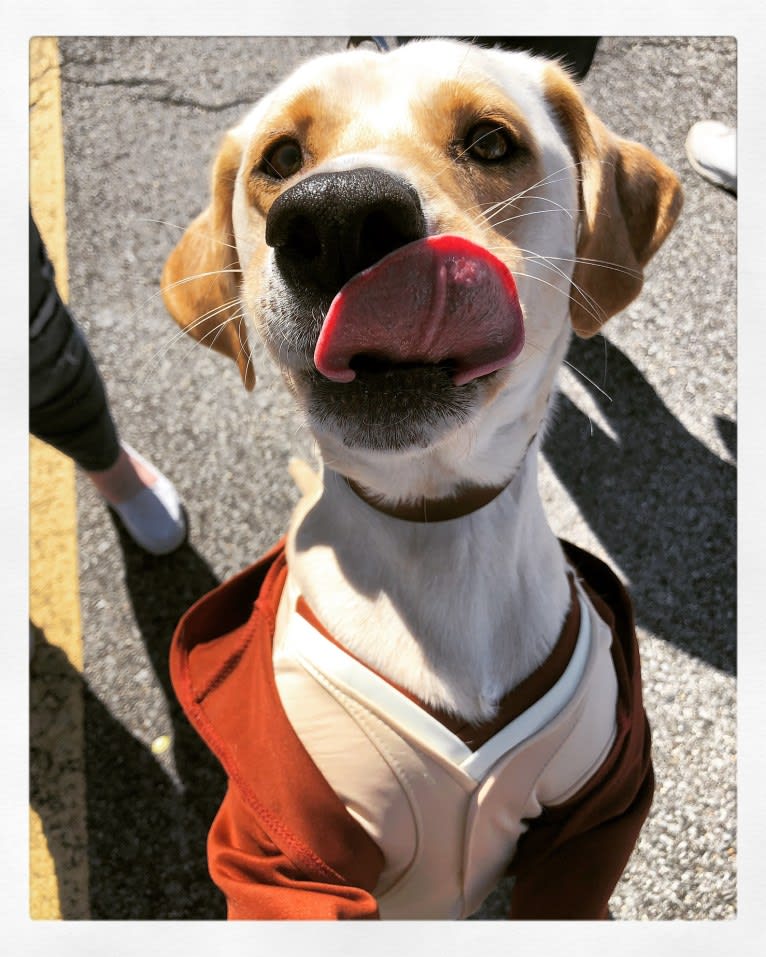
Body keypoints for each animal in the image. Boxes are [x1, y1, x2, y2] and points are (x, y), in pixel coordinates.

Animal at [164, 39, 684, 920]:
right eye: (281, 159)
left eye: (491, 141)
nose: (335, 218)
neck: (440, 534)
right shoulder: (281, 853)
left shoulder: (599, 810)